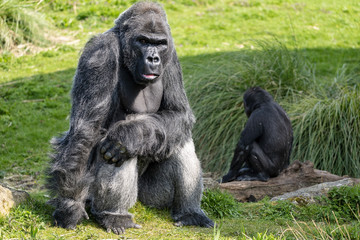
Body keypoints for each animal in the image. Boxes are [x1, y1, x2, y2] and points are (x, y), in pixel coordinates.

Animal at [46, 1, 212, 234]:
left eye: (159, 43)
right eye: (143, 41)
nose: (153, 58)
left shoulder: (172, 58)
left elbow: (178, 113)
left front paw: (130, 135)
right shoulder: (100, 53)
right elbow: (86, 131)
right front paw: (69, 207)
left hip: (149, 198)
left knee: (177, 138)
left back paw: (189, 212)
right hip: (97, 197)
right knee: (113, 149)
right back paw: (114, 215)